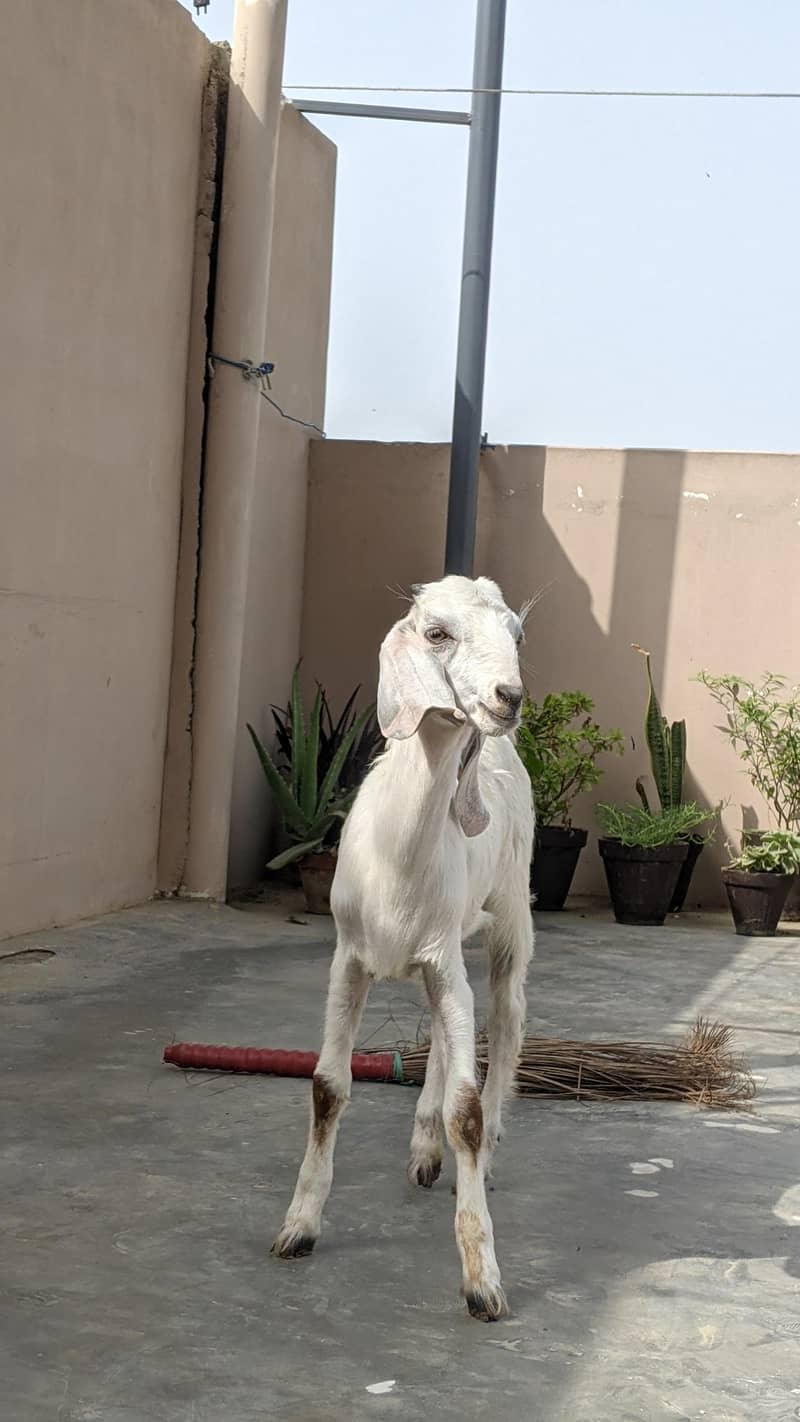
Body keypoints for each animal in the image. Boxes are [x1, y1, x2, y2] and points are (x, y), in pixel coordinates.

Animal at [272, 575, 535, 1321]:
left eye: (516, 634)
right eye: (437, 632)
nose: (508, 698)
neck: (399, 858)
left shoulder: (445, 957)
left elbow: (466, 1111)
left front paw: (483, 1280)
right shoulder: (352, 959)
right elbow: (327, 1087)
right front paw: (298, 1227)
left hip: (511, 913)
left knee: (507, 1018)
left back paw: (479, 1151)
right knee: (447, 1038)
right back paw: (423, 1146)